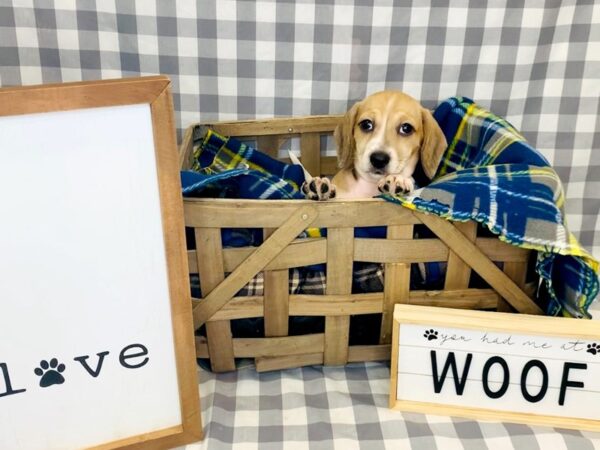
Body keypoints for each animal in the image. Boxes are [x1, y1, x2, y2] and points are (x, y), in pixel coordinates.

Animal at [302, 90, 448, 200]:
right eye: (366, 124)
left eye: (406, 128)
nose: (379, 159)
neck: (370, 185)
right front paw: (319, 186)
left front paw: (397, 179)